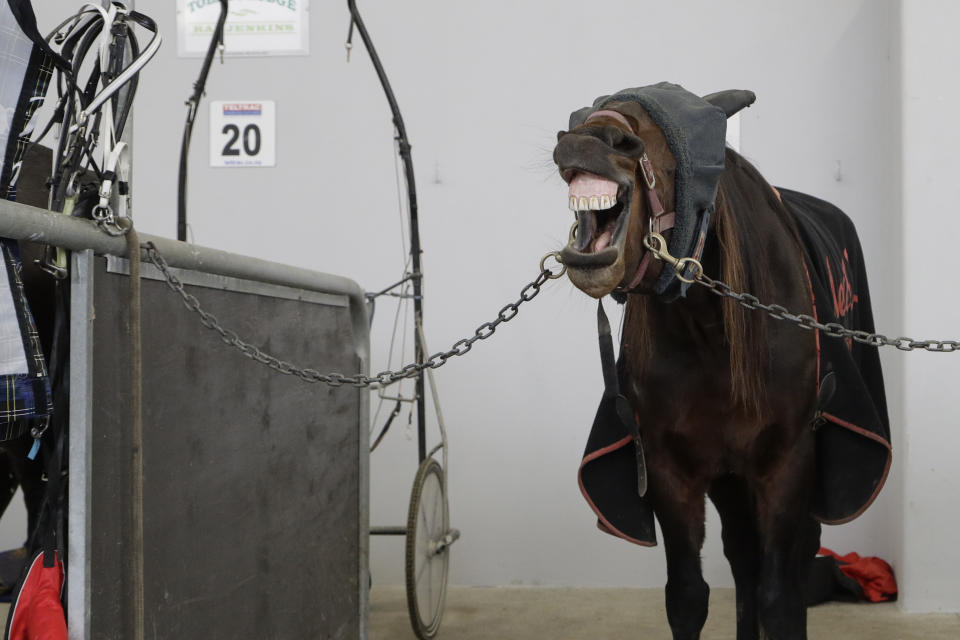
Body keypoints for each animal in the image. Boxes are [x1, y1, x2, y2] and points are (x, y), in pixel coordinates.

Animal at [556, 91, 824, 640]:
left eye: (664, 132)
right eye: (590, 111)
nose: (589, 140)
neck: (713, 337)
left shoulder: (788, 462)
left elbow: (780, 598)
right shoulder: (670, 467)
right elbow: (686, 596)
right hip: (729, 479)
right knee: (743, 559)